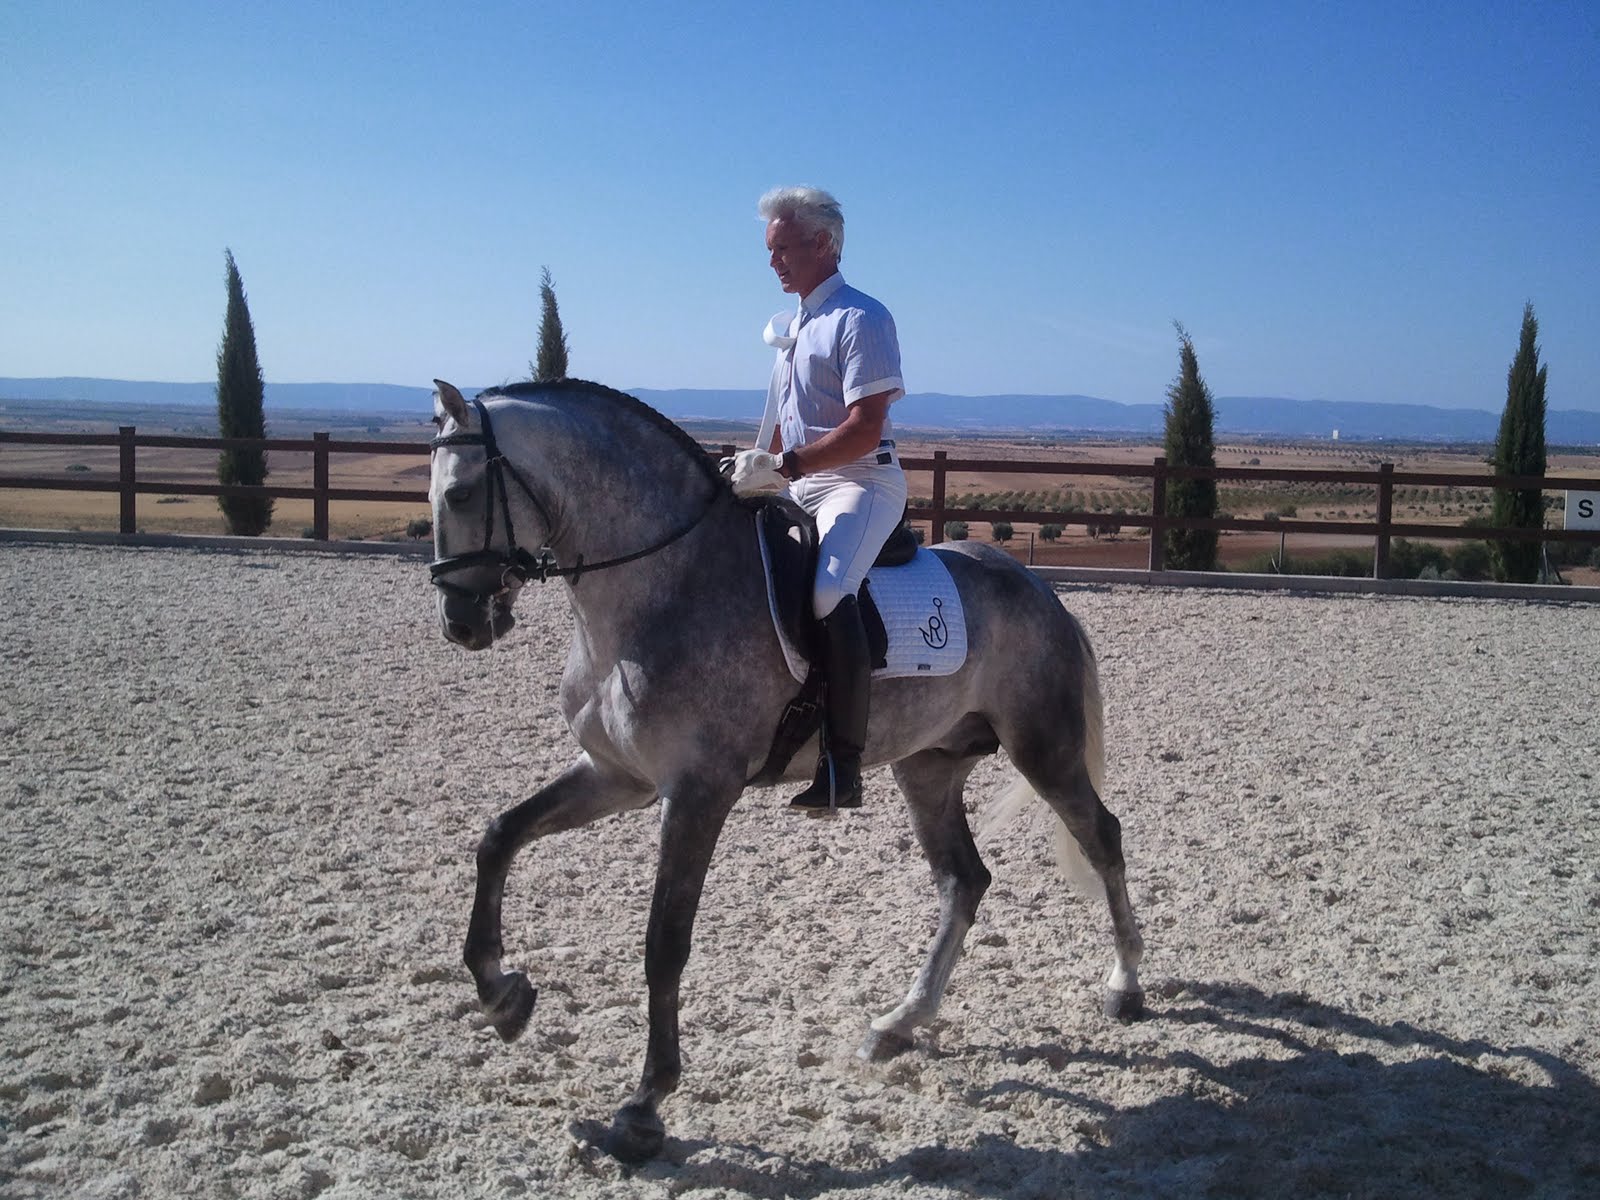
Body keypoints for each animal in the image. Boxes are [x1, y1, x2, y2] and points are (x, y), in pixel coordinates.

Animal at [426, 378, 1144, 1162]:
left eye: (460, 494)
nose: (463, 624)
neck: (664, 585)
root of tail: (1035, 587)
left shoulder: (698, 792)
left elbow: (664, 941)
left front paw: (645, 1106)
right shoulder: (617, 776)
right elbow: (499, 836)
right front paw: (503, 996)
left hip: (1044, 748)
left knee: (1102, 839)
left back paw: (1124, 987)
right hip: (928, 766)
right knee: (964, 880)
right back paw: (899, 1022)